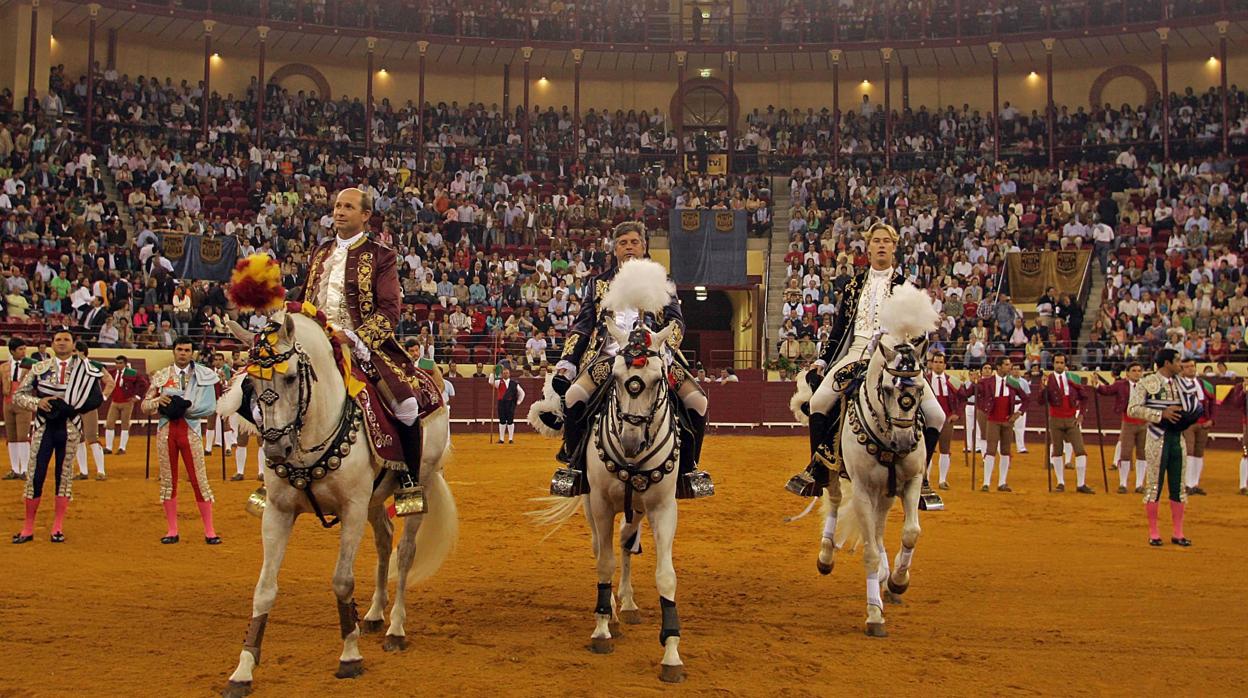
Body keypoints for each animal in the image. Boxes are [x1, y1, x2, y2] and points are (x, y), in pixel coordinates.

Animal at [220, 314, 459, 694]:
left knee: (405, 551)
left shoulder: (352, 509)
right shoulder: (278, 513)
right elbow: (264, 588)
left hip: (418, 484)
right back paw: (375, 614)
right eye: (250, 386)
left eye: (291, 377)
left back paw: (396, 628)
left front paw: (350, 655)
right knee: (383, 540)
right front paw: (243, 670)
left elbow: (342, 580)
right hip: (375, 499)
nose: (275, 450)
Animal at [534, 322, 688, 684]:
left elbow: (666, 575)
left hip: (638, 510)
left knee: (626, 543)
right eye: (616, 378)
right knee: (601, 548)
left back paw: (628, 604)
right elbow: (604, 563)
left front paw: (671, 652)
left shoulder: (663, 509)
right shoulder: (602, 504)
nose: (631, 442)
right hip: (591, 503)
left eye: (658, 379)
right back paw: (615, 614)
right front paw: (602, 627)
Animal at [788, 285, 938, 639]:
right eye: (887, 388)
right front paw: (874, 615)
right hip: (832, 469)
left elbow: (911, 532)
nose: (904, 442)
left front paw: (897, 581)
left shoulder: (910, 481)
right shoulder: (862, 489)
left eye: (919, 388)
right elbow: (868, 551)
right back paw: (826, 554)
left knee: (881, 527)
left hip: (885, 491)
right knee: (834, 500)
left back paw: (886, 574)